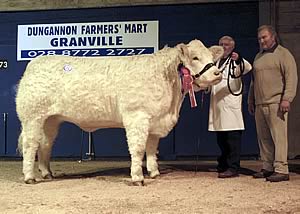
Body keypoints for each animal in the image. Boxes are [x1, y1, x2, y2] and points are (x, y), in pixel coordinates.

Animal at [15, 39, 223, 185]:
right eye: (195, 58)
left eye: (212, 59)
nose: (217, 74)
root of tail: (34, 63)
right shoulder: (137, 116)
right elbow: (138, 148)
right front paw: (138, 177)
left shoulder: (155, 121)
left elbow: (152, 149)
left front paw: (154, 172)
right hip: (32, 117)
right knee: (30, 145)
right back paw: (29, 177)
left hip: (51, 120)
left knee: (45, 144)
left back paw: (47, 173)